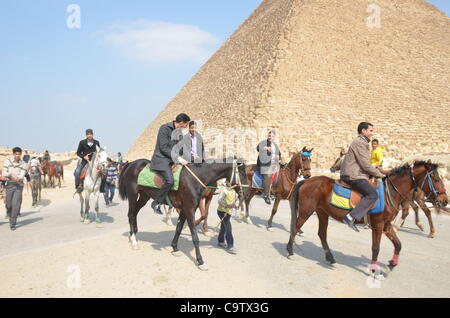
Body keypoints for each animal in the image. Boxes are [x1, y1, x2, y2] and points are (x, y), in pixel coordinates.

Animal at [118, 158, 248, 270]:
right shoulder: (189, 209)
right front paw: (200, 261)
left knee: (134, 213)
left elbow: (179, 228)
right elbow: (195, 237)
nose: (246, 193)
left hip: (144, 196)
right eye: (243, 173)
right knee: (131, 214)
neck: (195, 177)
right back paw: (134, 240)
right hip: (133, 194)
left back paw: (133, 234)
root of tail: (131, 163)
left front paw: (175, 248)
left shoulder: (186, 209)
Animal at [286, 161, 448, 274]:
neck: (390, 193)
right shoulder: (378, 225)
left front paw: (391, 264)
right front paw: (373, 269)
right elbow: (376, 248)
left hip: (322, 213)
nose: (445, 200)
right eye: (436, 179)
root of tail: (307, 181)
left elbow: (398, 245)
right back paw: (290, 251)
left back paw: (331, 259)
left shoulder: (387, 225)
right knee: (295, 228)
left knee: (322, 234)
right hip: (306, 211)